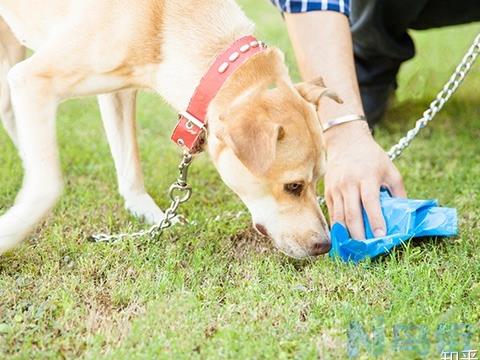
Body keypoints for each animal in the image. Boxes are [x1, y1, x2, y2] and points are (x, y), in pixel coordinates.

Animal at [0, 0, 342, 258]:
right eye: (293, 186)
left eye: (319, 179)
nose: (324, 245)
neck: (163, 20)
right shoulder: (34, 80)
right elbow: (48, 185)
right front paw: (11, 232)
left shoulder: (119, 91)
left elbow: (129, 163)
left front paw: (151, 216)